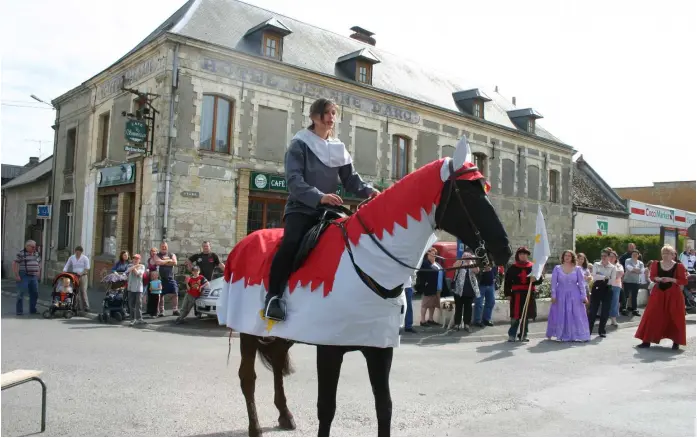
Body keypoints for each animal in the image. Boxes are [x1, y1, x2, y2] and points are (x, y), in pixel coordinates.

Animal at [218, 136, 512, 434]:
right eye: (469, 193)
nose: (505, 250)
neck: (366, 261)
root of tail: (242, 246)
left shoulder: (379, 350)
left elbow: (384, 406)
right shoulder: (329, 349)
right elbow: (326, 408)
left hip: (283, 334)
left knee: (277, 364)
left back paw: (285, 416)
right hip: (248, 331)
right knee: (248, 377)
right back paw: (255, 427)